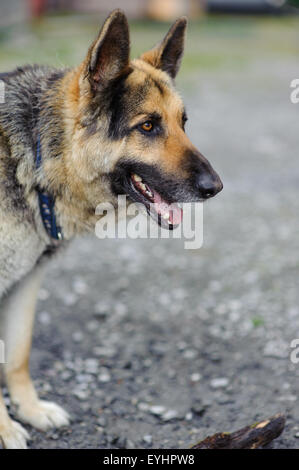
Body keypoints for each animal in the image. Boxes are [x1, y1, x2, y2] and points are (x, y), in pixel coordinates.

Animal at [0, 9, 223, 446]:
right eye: (148, 126)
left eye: (183, 122)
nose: (215, 187)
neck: (33, 156)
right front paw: (4, 428)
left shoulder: (25, 282)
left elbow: (17, 355)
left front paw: (30, 410)